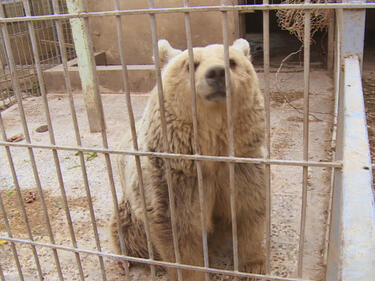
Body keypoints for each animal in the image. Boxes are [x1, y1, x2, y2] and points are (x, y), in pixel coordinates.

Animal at [109, 37, 268, 280]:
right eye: (191, 64)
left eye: (232, 62)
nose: (216, 72)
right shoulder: (174, 181)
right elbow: (179, 234)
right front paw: (193, 272)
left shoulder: (243, 166)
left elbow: (249, 212)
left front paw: (253, 266)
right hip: (130, 210)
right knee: (126, 230)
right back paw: (127, 261)